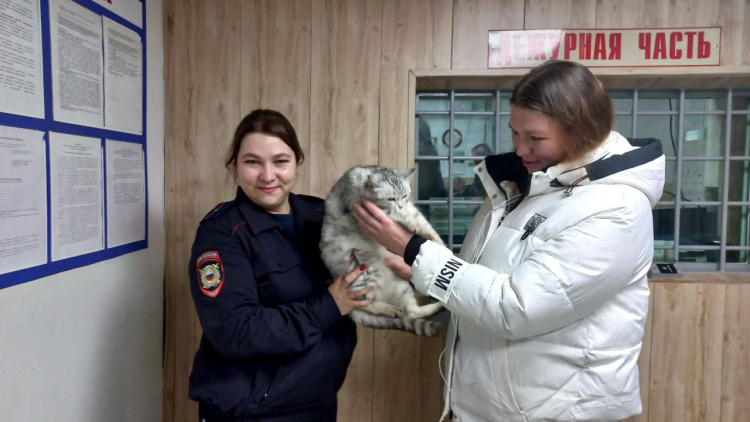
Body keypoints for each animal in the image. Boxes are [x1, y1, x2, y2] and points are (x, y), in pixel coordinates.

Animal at [318, 165, 446, 336]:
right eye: (391, 199)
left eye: (405, 195)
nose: (400, 205)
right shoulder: (371, 209)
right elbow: (400, 214)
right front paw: (410, 223)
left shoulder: (409, 207)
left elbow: (423, 222)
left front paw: (438, 243)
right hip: (362, 275)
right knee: (363, 302)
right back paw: (389, 309)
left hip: (401, 285)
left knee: (411, 312)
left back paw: (435, 307)